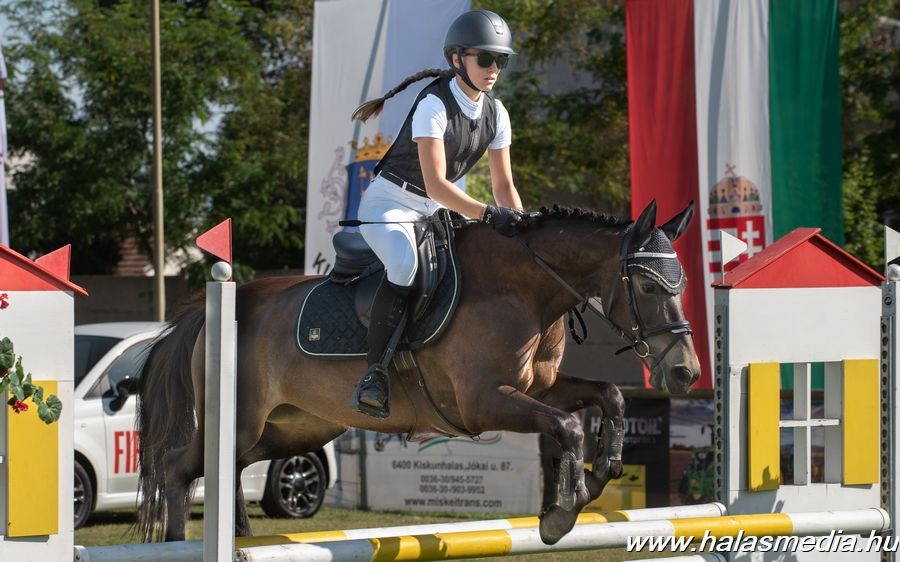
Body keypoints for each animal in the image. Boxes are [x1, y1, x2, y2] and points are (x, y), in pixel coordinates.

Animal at [135, 198, 704, 544]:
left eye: (681, 283)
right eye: (649, 287)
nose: (685, 373)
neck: (522, 289)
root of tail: (217, 309)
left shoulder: (537, 389)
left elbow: (609, 396)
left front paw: (603, 470)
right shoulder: (484, 402)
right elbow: (566, 427)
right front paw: (562, 512)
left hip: (292, 431)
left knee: (226, 469)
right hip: (240, 421)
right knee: (177, 468)